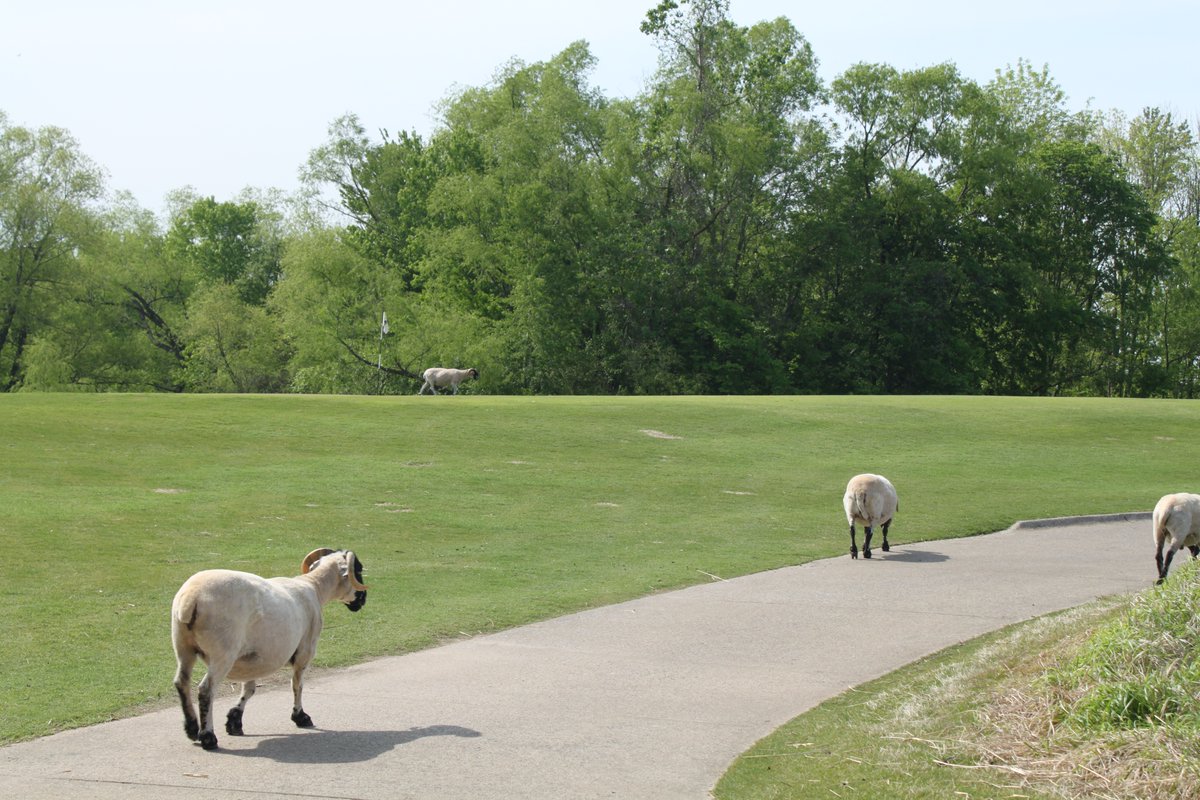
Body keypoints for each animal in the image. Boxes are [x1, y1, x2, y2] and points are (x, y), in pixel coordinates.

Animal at [170, 548, 368, 751]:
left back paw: (192, 727)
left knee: (181, 682)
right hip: (223, 652)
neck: (315, 587)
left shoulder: (252, 659)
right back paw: (208, 737)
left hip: (182, 645)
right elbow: (297, 684)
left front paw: (234, 721)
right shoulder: (305, 650)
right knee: (206, 690)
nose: (363, 599)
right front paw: (300, 716)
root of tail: (191, 599)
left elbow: (249, 689)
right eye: (358, 570)